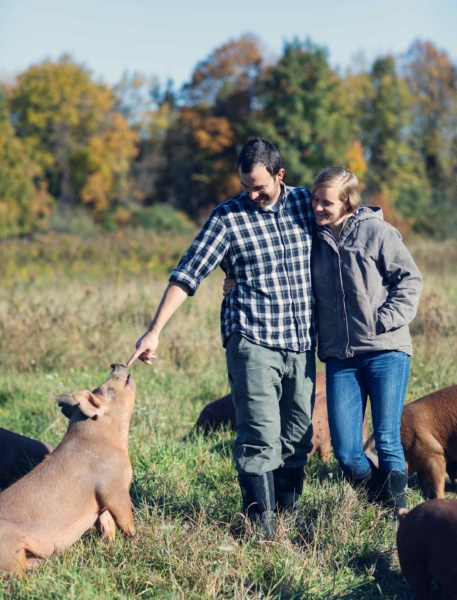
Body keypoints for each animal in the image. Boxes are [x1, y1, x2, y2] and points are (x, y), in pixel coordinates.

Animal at [0, 360, 135, 576]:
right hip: (9, 551)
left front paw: (110, 546)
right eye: (107, 390)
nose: (116, 364)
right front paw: (134, 538)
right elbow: (125, 519)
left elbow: (107, 524)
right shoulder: (114, 487)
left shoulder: (101, 499)